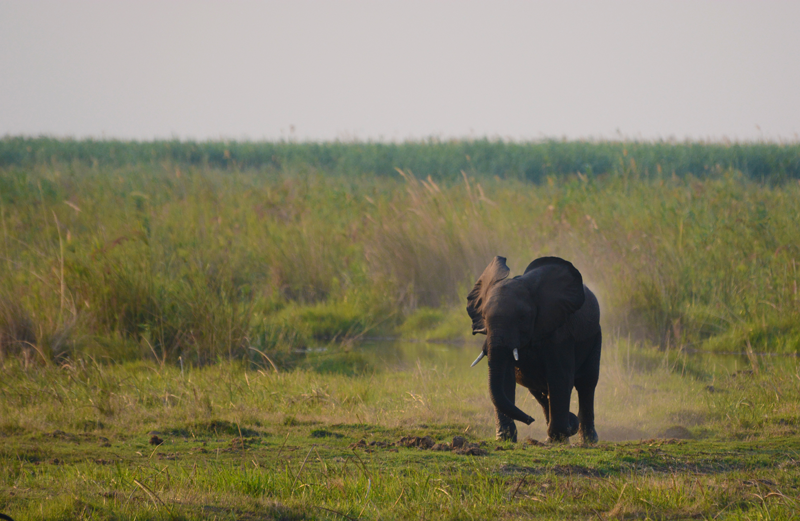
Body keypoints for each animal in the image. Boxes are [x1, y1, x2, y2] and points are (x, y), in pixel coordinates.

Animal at [467, 256, 601, 444]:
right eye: (484, 318)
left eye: (522, 317)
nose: (530, 419)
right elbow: (505, 380)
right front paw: (505, 439)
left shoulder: (561, 333)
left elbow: (559, 376)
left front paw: (559, 436)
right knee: (540, 391)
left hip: (595, 335)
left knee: (587, 383)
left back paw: (586, 440)